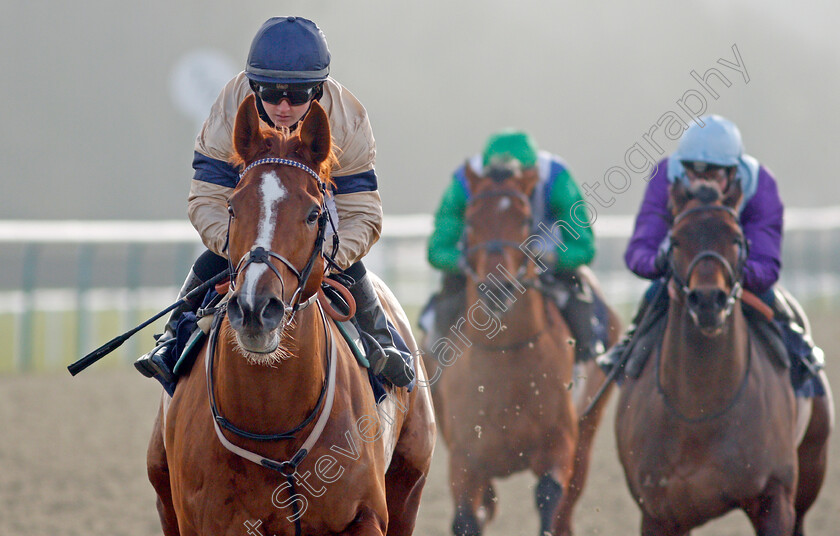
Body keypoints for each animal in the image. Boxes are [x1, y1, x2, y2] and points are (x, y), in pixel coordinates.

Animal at [149, 97, 440, 536]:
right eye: (233, 207)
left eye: (313, 214)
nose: (255, 308)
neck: (273, 422)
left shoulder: (366, 515)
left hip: (410, 484)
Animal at [424, 165, 620, 532]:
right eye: (470, 219)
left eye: (526, 219)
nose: (497, 288)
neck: (505, 358)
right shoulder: (464, 460)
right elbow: (466, 519)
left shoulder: (559, 446)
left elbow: (548, 501)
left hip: (589, 426)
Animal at [612, 181, 836, 536]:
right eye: (676, 240)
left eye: (735, 237)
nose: (708, 300)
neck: (700, 411)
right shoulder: (659, 514)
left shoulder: (775, 497)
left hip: (812, 464)